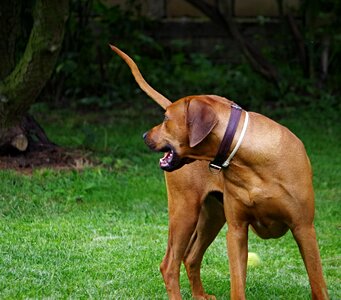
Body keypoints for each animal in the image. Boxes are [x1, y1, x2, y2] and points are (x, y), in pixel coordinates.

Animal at [109, 45, 326, 300]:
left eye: (165, 119)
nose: (144, 135)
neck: (250, 162)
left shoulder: (304, 228)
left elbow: (318, 284)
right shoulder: (237, 231)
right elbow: (237, 286)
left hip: (211, 216)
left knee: (190, 257)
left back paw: (199, 295)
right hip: (185, 211)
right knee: (170, 264)